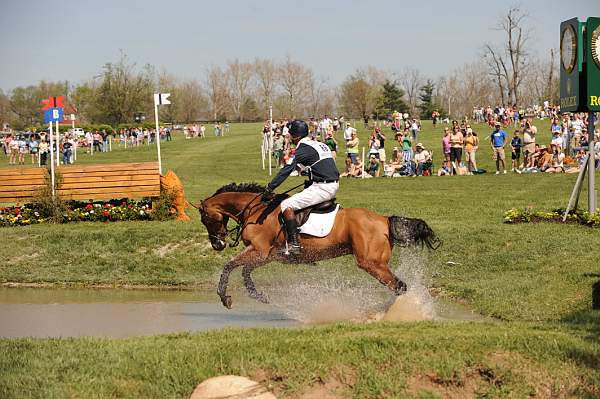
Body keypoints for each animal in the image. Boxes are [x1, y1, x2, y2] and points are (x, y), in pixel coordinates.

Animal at [199, 183, 438, 310]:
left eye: (205, 219)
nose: (217, 244)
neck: (257, 210)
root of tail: (384, 219)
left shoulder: (259, 251)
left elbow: (230, 266)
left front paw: (224, 298)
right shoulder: (268, 255)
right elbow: (245, 272)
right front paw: (258, 295)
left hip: (371, 263)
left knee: (399, 286)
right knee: (399, 286)